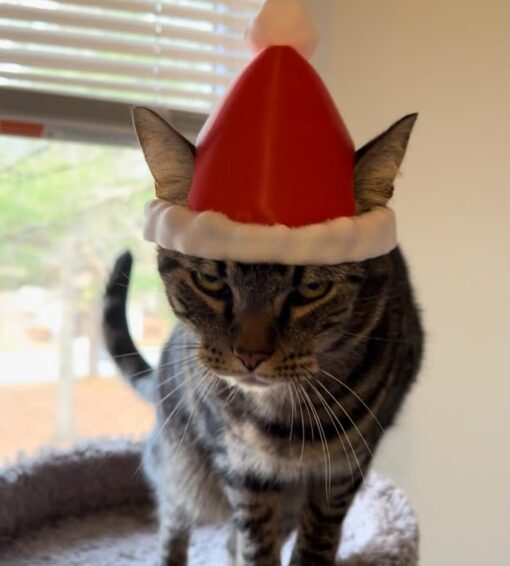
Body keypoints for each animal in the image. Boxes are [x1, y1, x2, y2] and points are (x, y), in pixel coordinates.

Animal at [102, 111, 422, 566]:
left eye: (311, 289)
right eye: (210, 281)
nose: (249, 355)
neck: (286, 418)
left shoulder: (345, 467)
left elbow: (316, 540)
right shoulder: (243, 469)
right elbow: (256, 544)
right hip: (182, 470)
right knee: (174, 521)